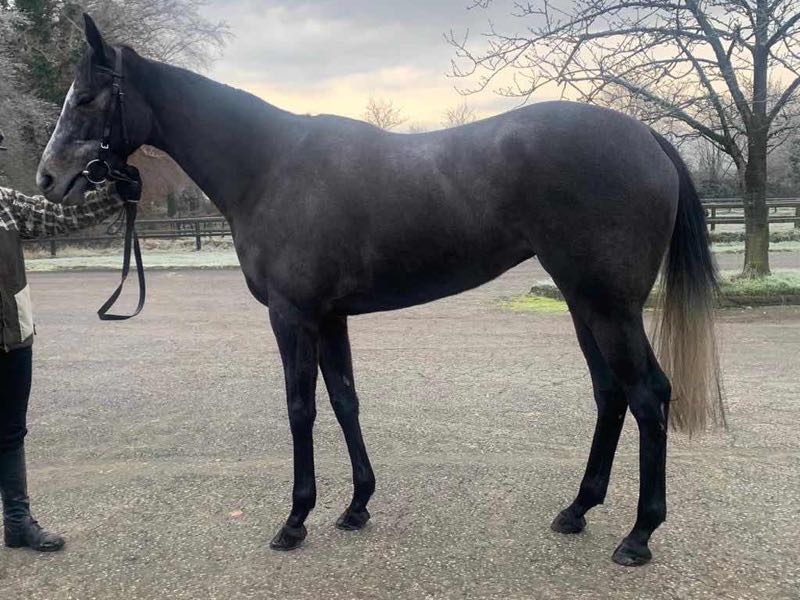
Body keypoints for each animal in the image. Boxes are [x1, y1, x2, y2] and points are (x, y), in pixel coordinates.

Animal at [37, 14, 723, 566]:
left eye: (88, 97)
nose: (47, 178)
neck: (270, 167)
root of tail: (647, 138)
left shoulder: (293, 317)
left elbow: (301, 408)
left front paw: (295, 520)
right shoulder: (330, 317)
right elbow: (345, 401)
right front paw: (356, 505)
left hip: (610, 307)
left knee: (647, 395)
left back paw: (638, 536)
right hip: (584, 304)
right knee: (611, 395)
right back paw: (577, 510)